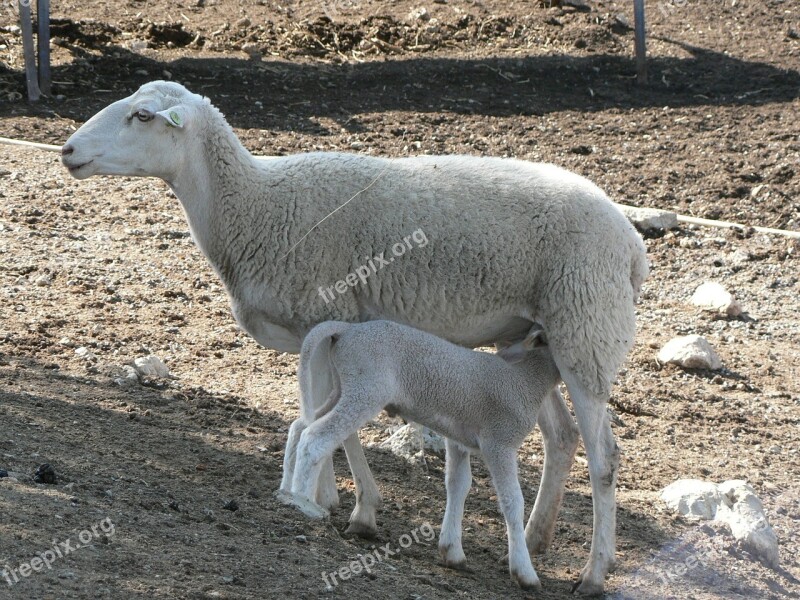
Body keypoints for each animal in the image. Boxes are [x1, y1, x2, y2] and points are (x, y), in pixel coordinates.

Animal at [62, 81, 648, 596]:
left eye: (142, 116)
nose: (67, 150)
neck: (253, 206)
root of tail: (633, 243)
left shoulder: (330, 310)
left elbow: (336, 428)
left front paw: (341, 503)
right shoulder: (321, 329)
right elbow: (319, 417)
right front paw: (327, 495)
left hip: (587, 330)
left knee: (605, 458)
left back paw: (593, 572)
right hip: (542, 339)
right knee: (562, 437)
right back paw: (536, 537)